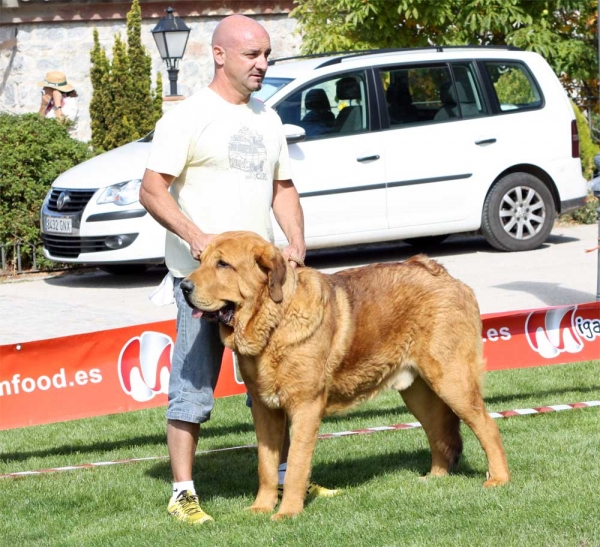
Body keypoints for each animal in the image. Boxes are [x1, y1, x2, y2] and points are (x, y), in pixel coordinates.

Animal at [180, 231, 508, 524]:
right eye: (201, 260)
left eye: (223, 264)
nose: (183, 285)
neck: (275, 323)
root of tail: (442, 274)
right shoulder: (265, 409)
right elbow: (266, 464)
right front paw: (261, 507)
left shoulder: (305, 408)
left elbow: (296, 463)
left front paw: (287, 512)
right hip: (418, 393)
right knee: (439, 432)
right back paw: (434, 478)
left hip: (453, 381)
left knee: (487, 425)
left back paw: (499, 479)